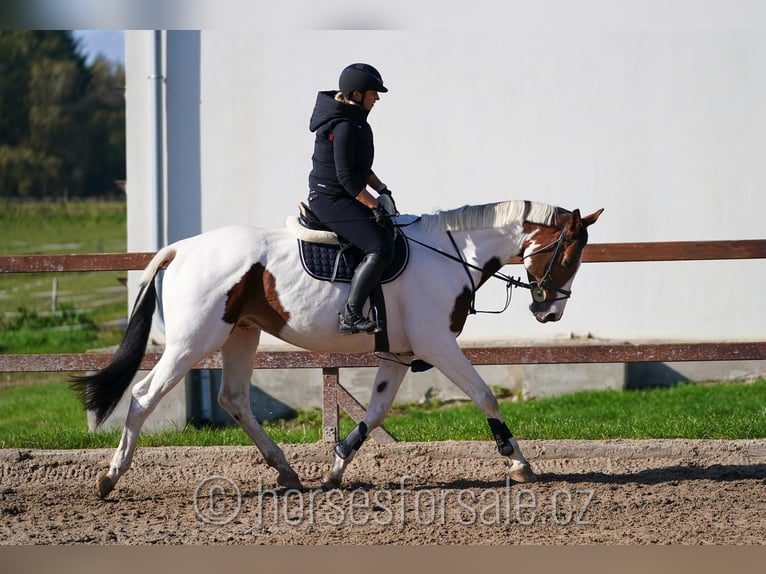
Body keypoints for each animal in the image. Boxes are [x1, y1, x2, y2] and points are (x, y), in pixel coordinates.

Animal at [75, 200, 608, 498]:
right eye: (569, 255)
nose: (549, 313)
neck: (453, 253)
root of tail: (182, 248)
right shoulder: (437, 344)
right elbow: (484, 395)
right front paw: (519, 463)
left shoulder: (398, 354)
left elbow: (374, 412)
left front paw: (334, 470)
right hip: (193, 341)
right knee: (144, 395)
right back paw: (110, 478)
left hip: (241, 334)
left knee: (234, 399)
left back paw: (286, 470)